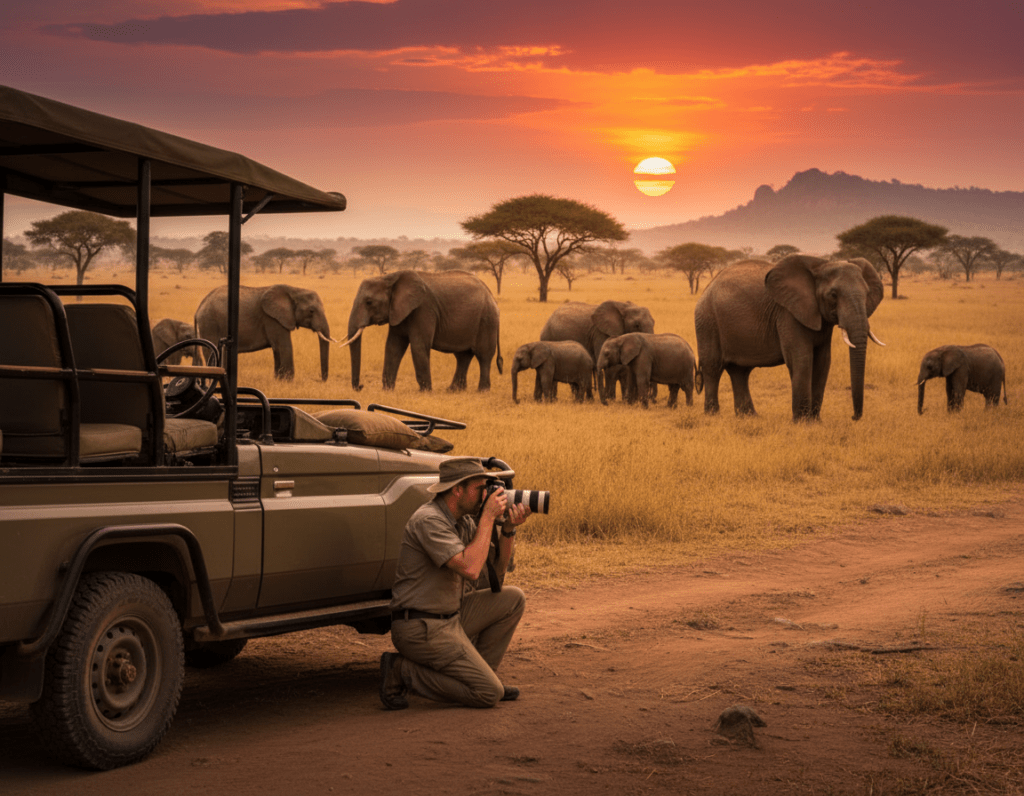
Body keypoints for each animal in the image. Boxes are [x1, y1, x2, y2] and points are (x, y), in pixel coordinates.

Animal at [195, 284, 334, 381]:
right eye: (311, 311)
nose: (319, 379)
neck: (294, 290)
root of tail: (200, 306)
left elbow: (277, 349)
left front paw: (279, 381)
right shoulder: (272, 318)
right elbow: (284, 346)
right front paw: (289, 382)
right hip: (210, 323)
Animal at [343, 270, 501, 391]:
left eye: (369, 302)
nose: (361, 386)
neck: (391, 277)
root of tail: (491, 295)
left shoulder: (423, 309)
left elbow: (418, 346)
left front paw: (425, 392)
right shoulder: (398, 311)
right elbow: (393, 346)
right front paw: (387, 391)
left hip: (487, 320)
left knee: (484, 355)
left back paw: (482, 391)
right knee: (463, 356)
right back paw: (453, 390)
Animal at [694, 254, 884, 421]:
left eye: (867, 293)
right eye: (833, 295)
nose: (853, 417)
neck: (821, 265)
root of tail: (707, 288)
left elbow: (823, 361)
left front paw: (816, 421)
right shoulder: (788, 313)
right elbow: (801, 358)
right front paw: (802, 422)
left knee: (739, 371)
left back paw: (749, 417)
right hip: (707, 321)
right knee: (713, 368)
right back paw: (713, 416)